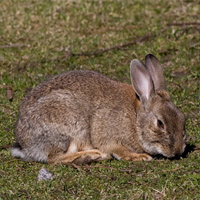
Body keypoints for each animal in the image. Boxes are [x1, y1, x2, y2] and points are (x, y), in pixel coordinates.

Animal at [10, 54, 186, 164]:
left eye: (182, 118)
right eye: (160, 123)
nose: (177, 151)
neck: (136, 118)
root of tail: (26, 146)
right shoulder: (107, 133)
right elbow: (117, 149)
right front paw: (140, 157)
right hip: (68, 127)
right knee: (54, 159)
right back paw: (92, 156)